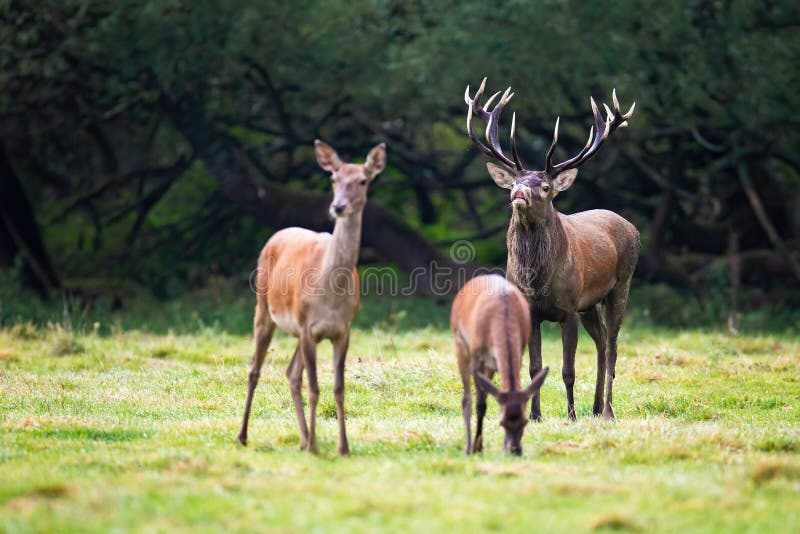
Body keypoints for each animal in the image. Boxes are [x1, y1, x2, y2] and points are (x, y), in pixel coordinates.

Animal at [236, 139, 386, 456]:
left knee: (292, 373)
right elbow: (315, 387)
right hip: (264, 309)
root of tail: (276, 235)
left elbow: (338, 388)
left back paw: (303, 439)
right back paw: (243, 436)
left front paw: (342, 447)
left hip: (298, 331)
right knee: (255, 369)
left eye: (363, 180)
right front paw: (318, 446)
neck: (330, 292)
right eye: (333, 179)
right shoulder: (307, 326)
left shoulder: (342, 330)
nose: (338, 206)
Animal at [450, 276, 552, 456]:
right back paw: (469, 447)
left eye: (525, 421)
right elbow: (480, 404)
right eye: (502, 422)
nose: (515, 450)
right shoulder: (477, 356)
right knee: (467, 397)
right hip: (460, 343)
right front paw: (476, 448)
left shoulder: (518, 353)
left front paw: (494, 446)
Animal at [466, 78, 640, 422]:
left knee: (613, 348)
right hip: (590, 304)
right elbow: (534, 367)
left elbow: (567, 369)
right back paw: (595, 408)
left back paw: (608, 410)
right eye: (514, 182)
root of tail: (633, 228)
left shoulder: (568, 309)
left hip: (621, 286)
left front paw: (570, 415)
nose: (519, 193)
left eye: (545, 187)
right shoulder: (532, 311)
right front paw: (534, 415)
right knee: (601, 343)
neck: (538, 281)